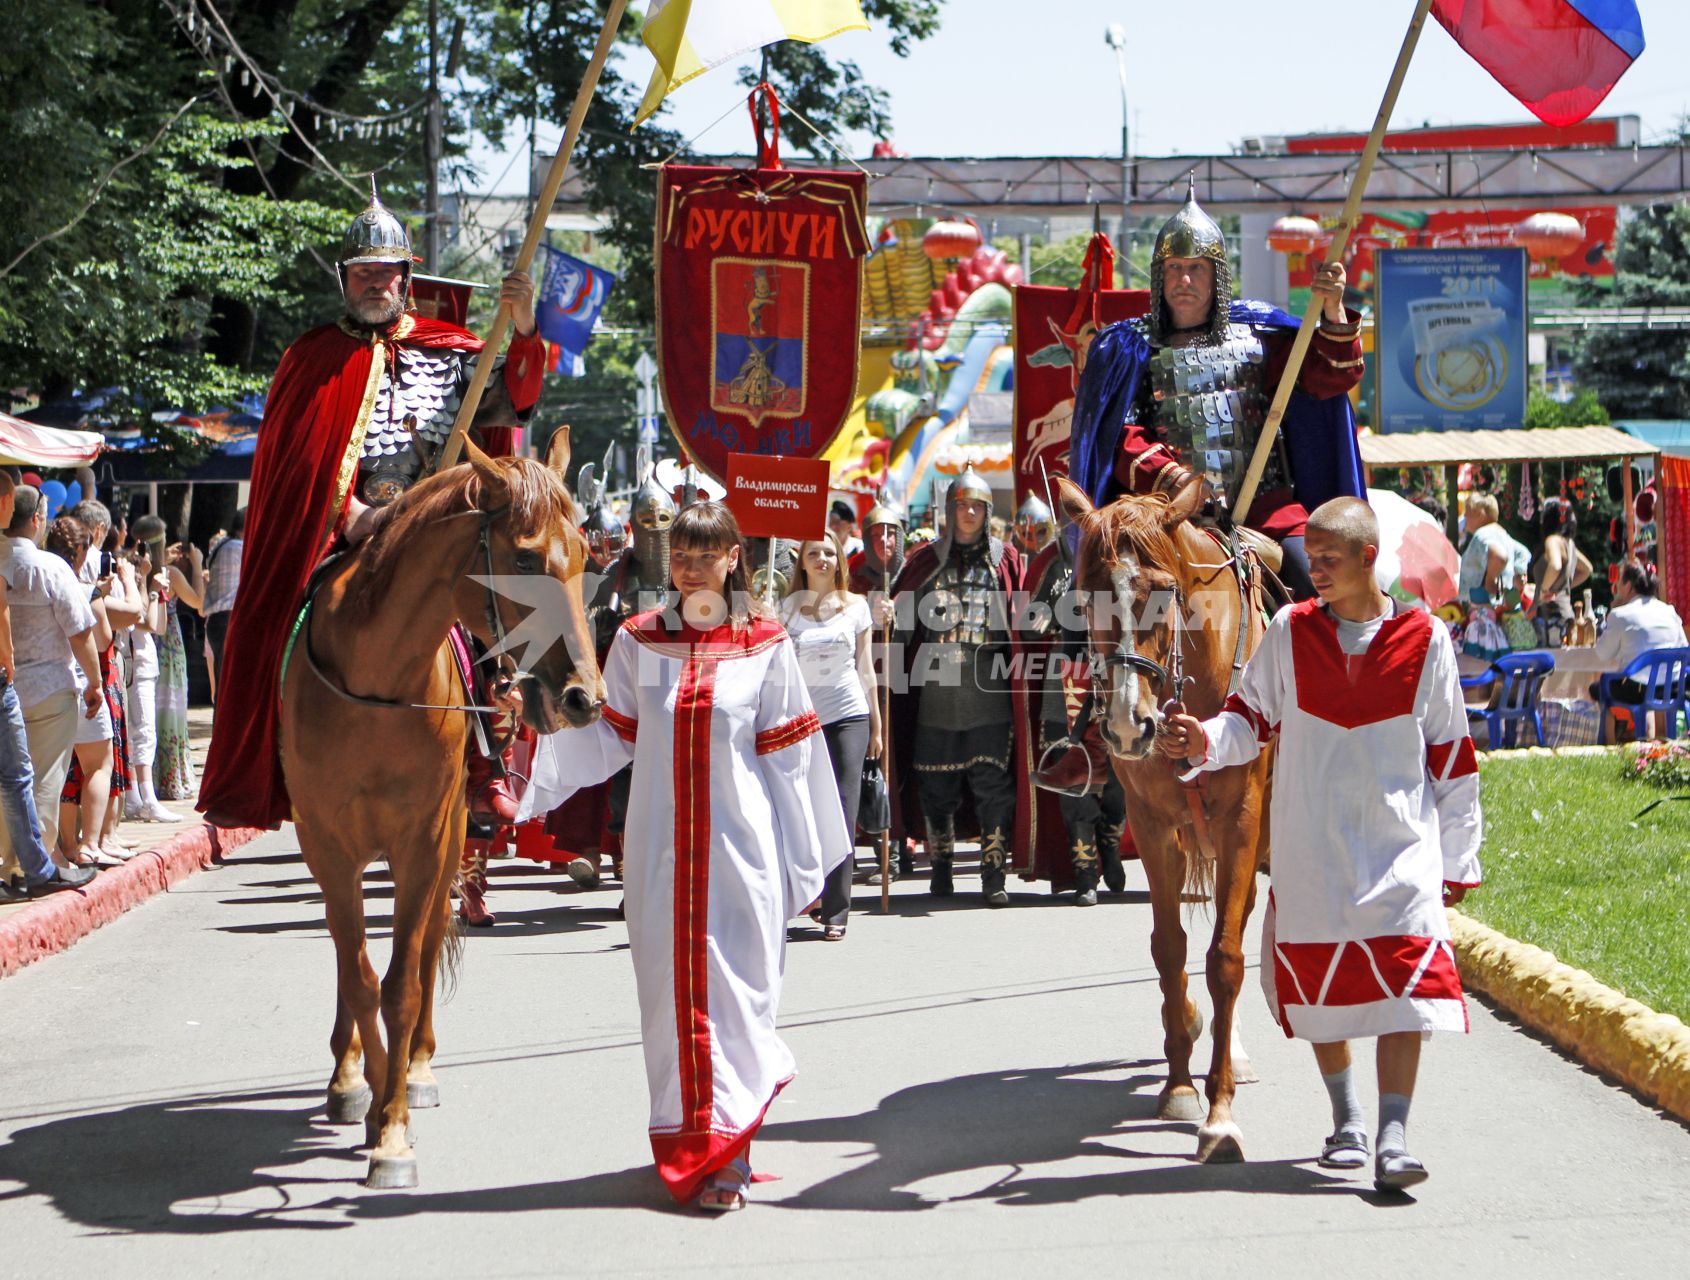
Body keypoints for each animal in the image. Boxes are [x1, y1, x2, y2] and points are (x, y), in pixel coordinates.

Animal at [285, 439, 608, 1190]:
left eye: (585, 555)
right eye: (525, 559)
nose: (585, 697)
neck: (376, 683)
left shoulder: (425, 840)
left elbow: (403, 980)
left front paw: (393, 1124)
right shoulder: (327, 843)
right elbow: (359, 974)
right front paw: (369, 1091)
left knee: (430, 941)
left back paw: (418, 1068)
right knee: (349, 955)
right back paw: (350, 1078)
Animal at [1054, 476, 1270, 1156]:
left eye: (1163, 592)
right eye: (1087, 596)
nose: (1129, 726)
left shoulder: (1242, 822)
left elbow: (1225, 957)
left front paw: (1220, 1116)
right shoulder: (1151, 826)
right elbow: (1169, 948)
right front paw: (1179, 1083)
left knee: (1239, 927)